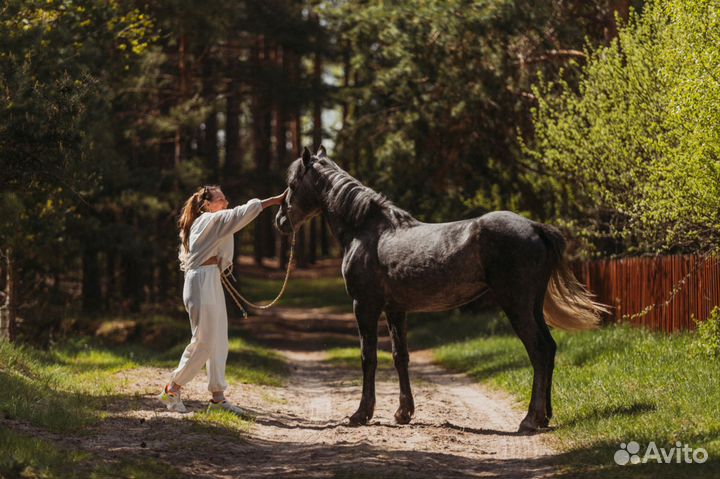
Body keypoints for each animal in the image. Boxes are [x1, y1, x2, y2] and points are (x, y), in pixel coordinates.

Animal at [276, 147, 608, 436]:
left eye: (292, 184)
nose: (280, 222)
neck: (367, 232)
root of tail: (535, 227)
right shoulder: (395, 309)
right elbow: (400, 356)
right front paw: (403, 413)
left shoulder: (364, 306)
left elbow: (368, 357)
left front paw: (361, 414)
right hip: (532, 305)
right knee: (549, 349)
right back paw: (544, 417)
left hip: (516, 304)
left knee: (538, 350)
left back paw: (530, 419)